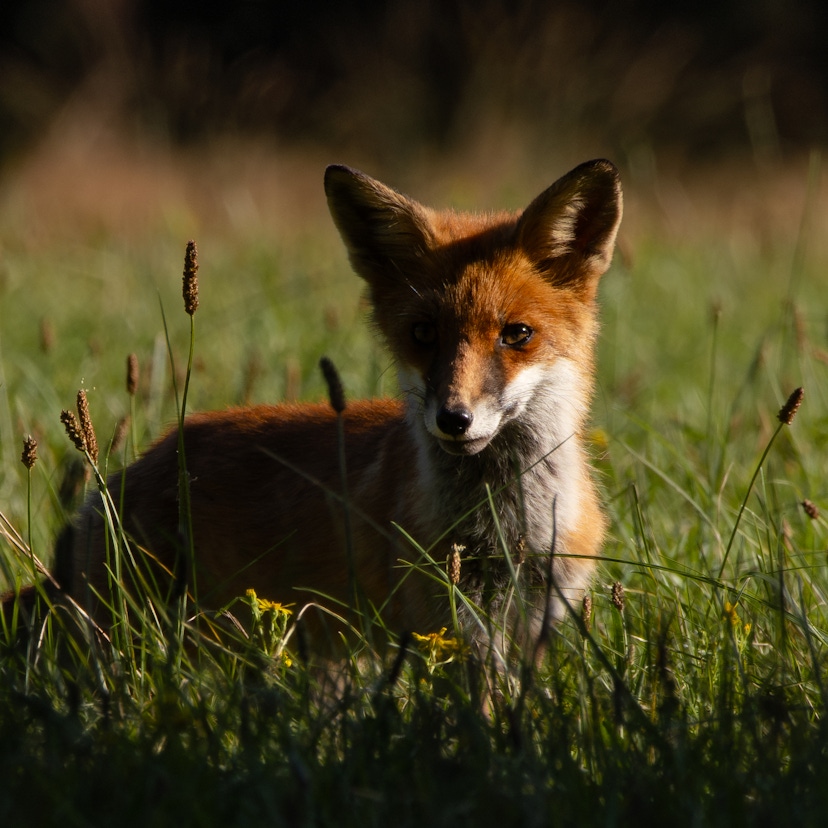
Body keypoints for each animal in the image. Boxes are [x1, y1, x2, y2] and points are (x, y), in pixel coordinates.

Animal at [1, 158, 620, 656]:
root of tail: (122, 477)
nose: (453, 418)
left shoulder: (534, 623)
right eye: (422, 334)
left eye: (517, 335)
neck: (505, 530)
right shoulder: (449, 626)